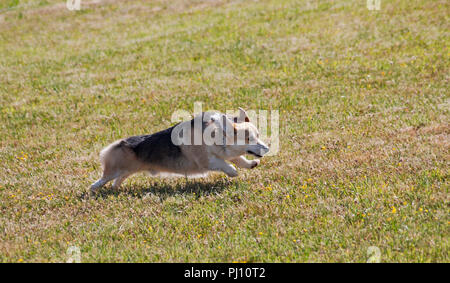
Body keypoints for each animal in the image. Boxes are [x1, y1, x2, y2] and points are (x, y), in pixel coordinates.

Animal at [89, 107, 268, 194]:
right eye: (249, 139)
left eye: (258, 136)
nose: (267, 148)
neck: (215, 135)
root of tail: (120, 143)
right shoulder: (206, 160)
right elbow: (224, 164)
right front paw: (233, 172)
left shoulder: (226, 153)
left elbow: (239, 159)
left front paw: (251, 164)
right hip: (115, 169)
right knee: (103, 179)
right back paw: (93, 189)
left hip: (128, 170)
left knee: (118, 179)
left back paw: (115, 188)